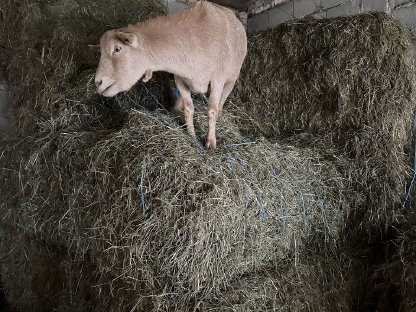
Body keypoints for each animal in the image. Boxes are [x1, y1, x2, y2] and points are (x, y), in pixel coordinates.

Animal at [92, 0, 247, 150]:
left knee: (222, 100)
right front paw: (191, 135)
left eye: (117, 49)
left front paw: (210, 142)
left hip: (231, 78)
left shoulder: (217, 80)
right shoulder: (180, 79)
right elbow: (189, 108)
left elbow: (212, 110)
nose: (98, 82)